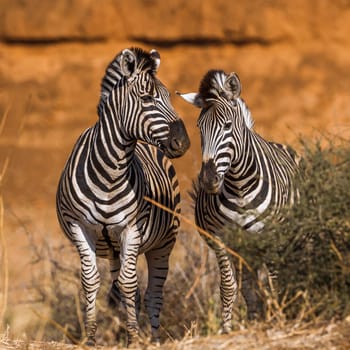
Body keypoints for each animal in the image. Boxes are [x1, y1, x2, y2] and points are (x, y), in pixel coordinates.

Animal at [56, 47, 190, 346]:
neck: (110, 172)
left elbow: (131, 285)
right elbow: (91, 281)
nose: (184, 143)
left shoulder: (131, 227)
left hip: (163, 243)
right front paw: (91, 339)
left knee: (152, 294)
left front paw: (135, 339)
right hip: (114, 248)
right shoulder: (80, 226)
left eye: (168, 96)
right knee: (123, 288)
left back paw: (153, 339)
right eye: (147, 98)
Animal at [179, 69, 300, 332]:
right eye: (199, 127)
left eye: (226, 126)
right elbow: (229, 286)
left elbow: (274, 281)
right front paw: (226, 329)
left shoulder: (271, 236)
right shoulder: (221, 239)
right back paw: (255, 319)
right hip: (246, 249)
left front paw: (278, 321)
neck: (239, 185)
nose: (209, 180)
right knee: (249, 285)